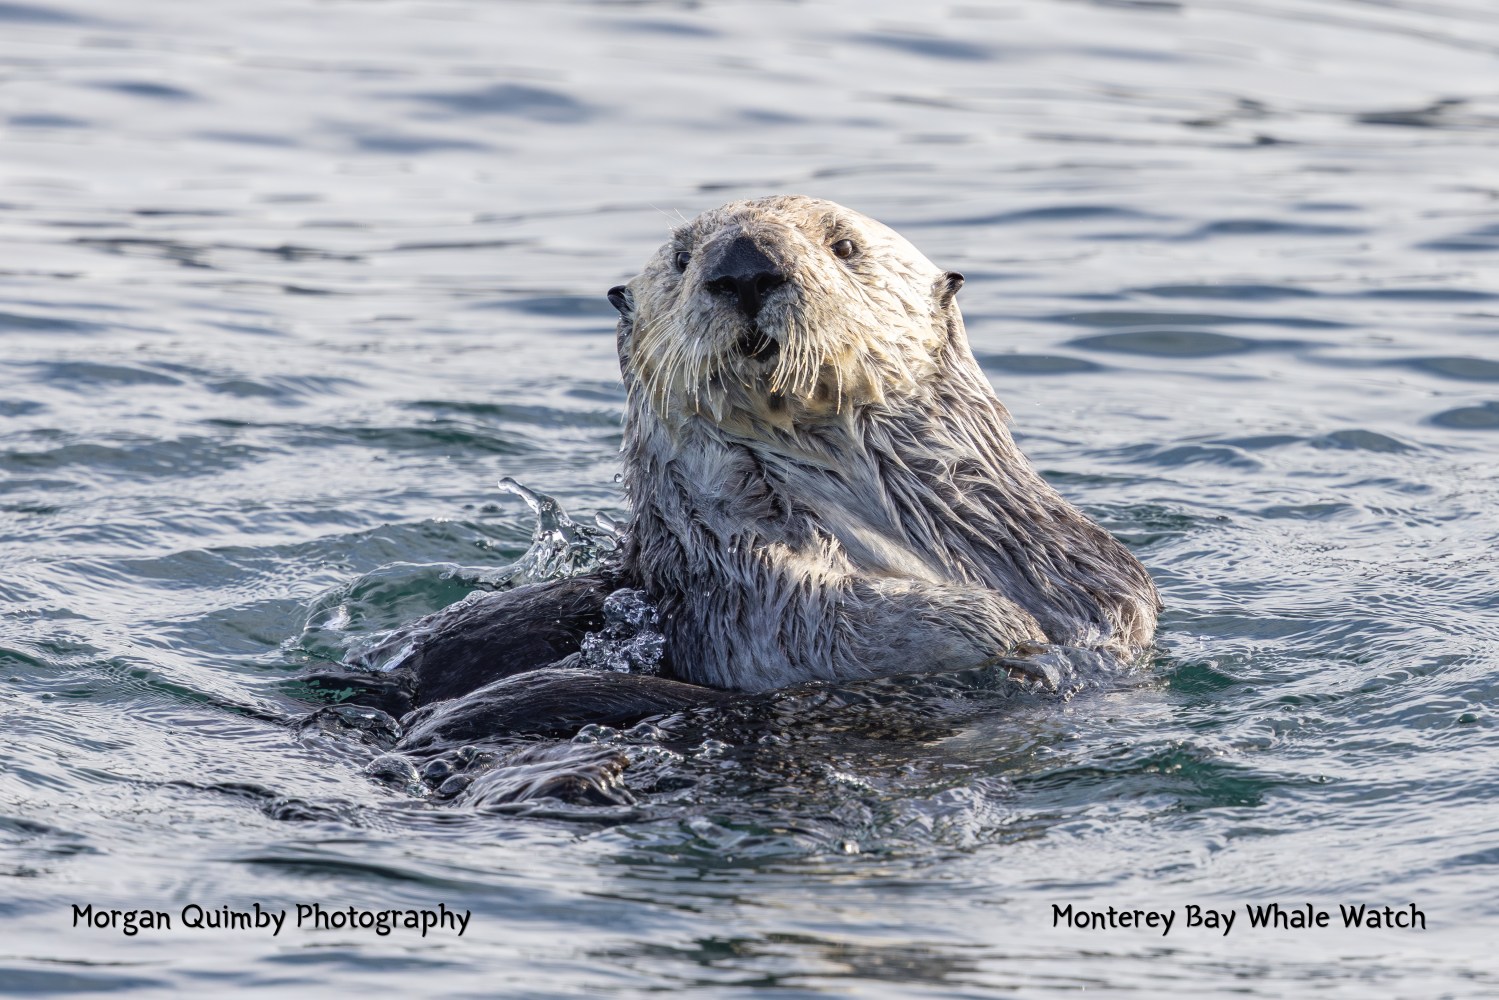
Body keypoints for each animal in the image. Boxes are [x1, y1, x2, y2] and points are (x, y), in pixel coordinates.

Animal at [332, 196, 1160, 737]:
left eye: (843, 246)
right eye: (679, 257)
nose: (744, 266)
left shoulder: (1081, 574)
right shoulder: (739, 585)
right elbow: (829, 623)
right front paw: (997, 625)